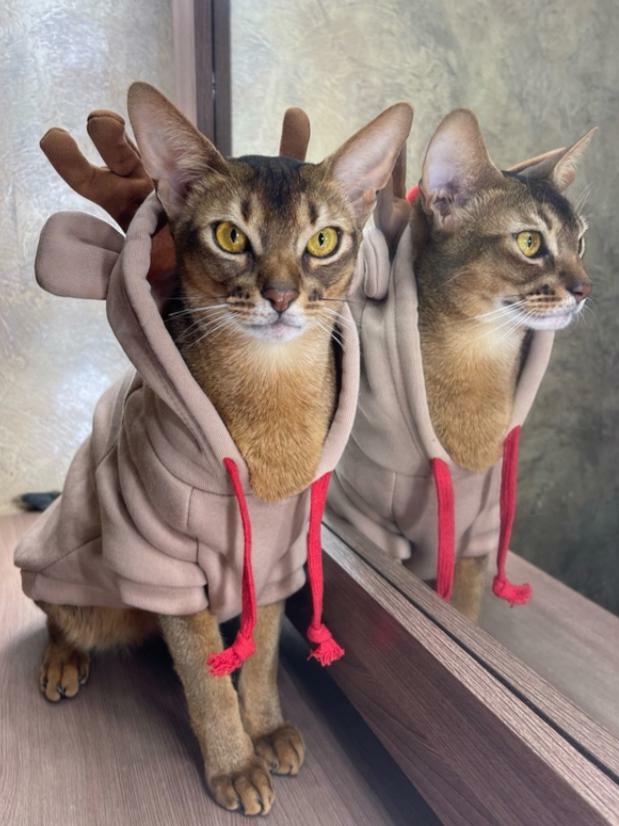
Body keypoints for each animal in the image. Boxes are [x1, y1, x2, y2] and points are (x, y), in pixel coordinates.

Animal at [35, 83, 412, 816]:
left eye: (323, 239)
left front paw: (263, 728)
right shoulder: (164, 562)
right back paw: (62, 659)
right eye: (231, 236)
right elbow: (207, 683)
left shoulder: (273, 558)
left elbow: (259, 656)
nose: (281, 295)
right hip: (89, 592)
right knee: (58, 615)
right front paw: (235, 765)